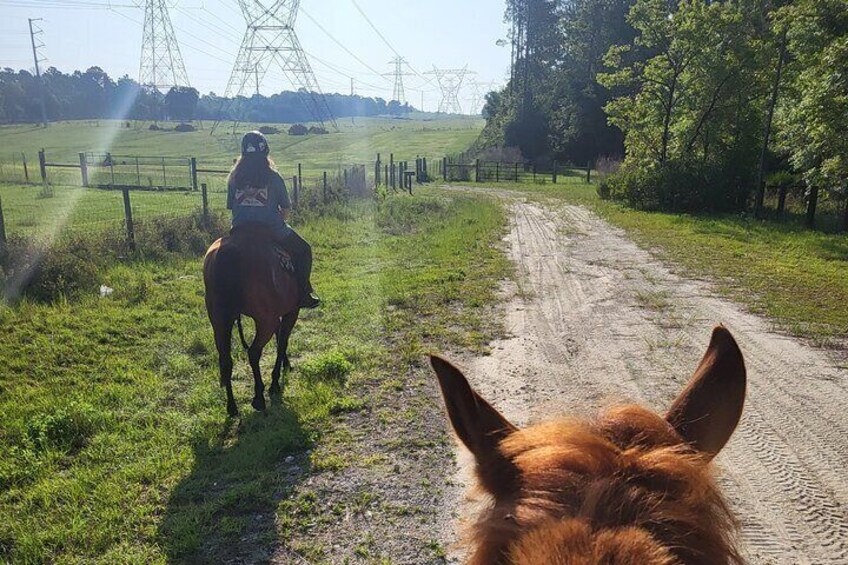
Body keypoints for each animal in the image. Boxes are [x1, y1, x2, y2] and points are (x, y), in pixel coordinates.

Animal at [204, 224, 300, 414]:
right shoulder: (291, 311)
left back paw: (232, 407)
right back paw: (259, 397)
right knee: (254, 352)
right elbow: (282, 341)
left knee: (226, 360)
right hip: (264, 321)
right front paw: (276, 381)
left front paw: (285, 365)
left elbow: (280, 338)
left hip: (220, 322)